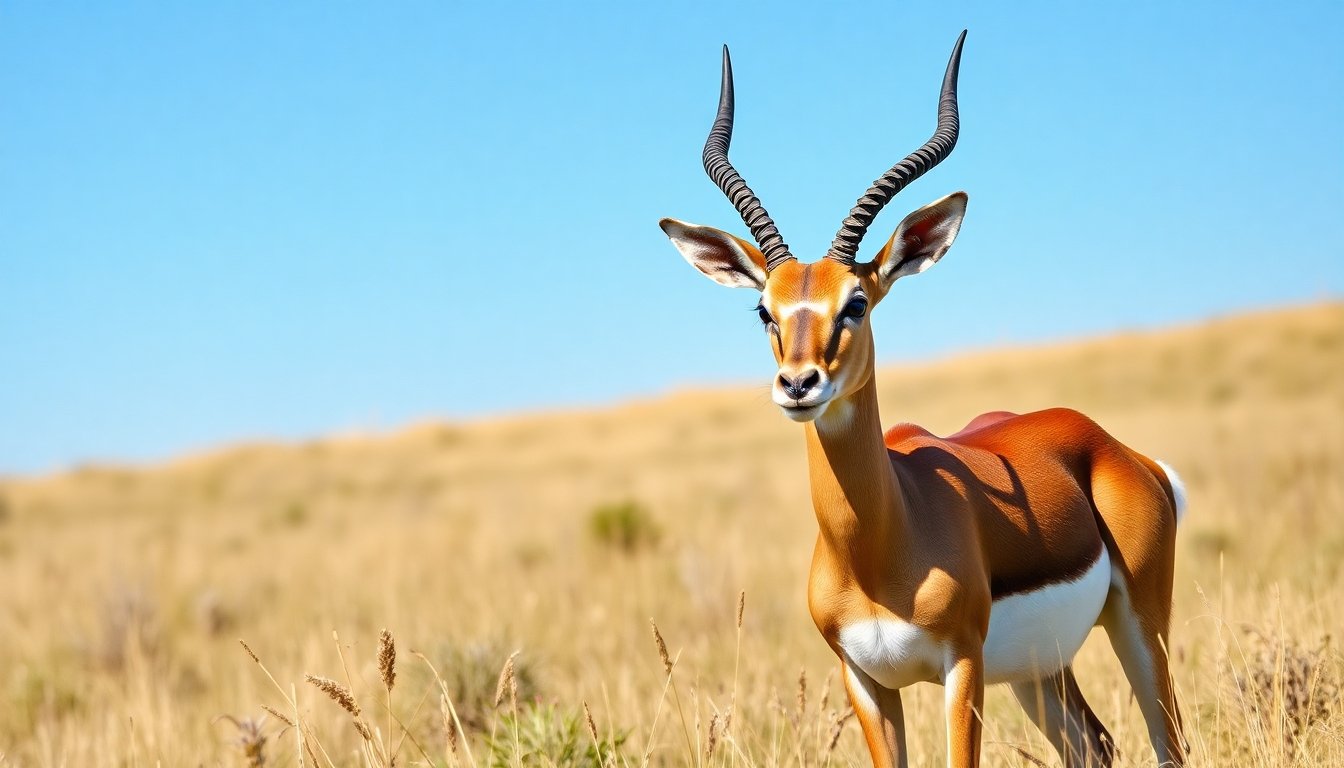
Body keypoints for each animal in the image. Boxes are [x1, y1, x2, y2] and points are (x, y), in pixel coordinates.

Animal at [658, 32, 1190, 768]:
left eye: (855, 303)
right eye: (764, 310)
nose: (798, 385)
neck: (882, 545)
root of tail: (1118, 449)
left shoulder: (960, 664)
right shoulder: (865, 680)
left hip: (1140, 624)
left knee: (1169, 740)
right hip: (1038, 671)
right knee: (1097, 743)